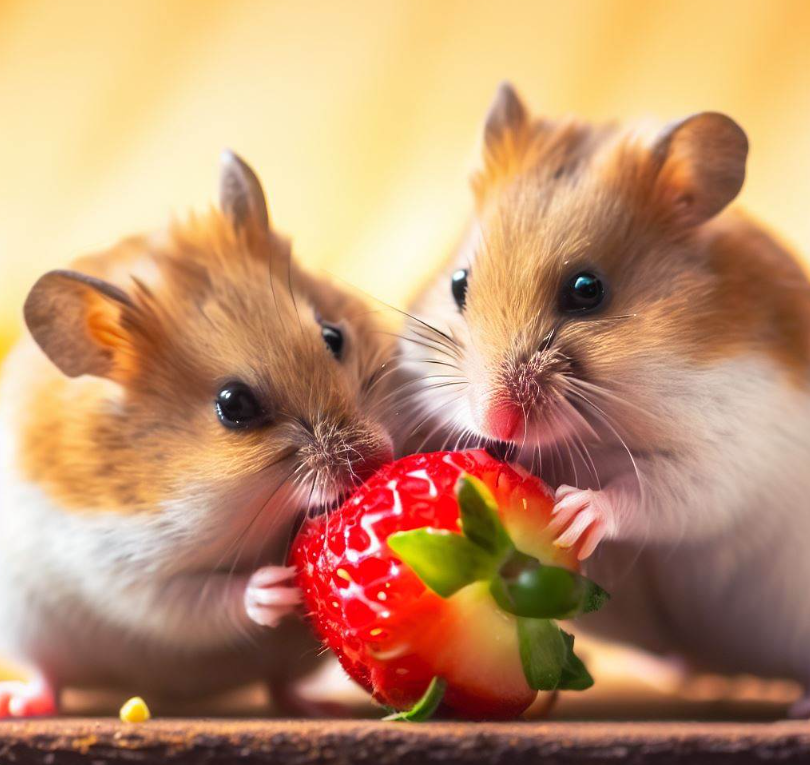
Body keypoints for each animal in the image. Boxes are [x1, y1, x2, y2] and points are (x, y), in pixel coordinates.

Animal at [0, 152, 395, 717]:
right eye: (233, 406)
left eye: (333, 335)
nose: (378, 460)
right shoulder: (124, 571)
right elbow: (196, 604)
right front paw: (277, 588)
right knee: (47, 675)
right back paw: (22, 703)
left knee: (279, 684)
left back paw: (318, 706)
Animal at [405, 83, 810, 713]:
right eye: (458, 284)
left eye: (587, 290)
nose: (496, 422)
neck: (593, 431)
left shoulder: (727, 457)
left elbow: (654, 495)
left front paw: (574, 511)